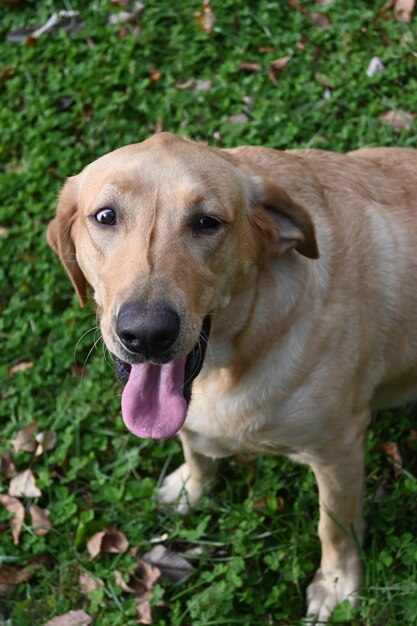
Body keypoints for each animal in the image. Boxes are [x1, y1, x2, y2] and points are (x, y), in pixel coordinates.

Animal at [46, 132, 416, 620]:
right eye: (105, 216)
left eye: (207, 222)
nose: (146, 334)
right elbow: (195, 449)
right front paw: (191, 486)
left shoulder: (339, 448)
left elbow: (334, 527)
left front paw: (337, 585)